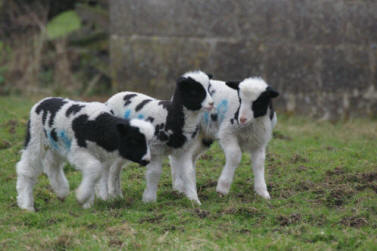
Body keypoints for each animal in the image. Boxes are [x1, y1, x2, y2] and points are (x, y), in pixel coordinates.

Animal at [15, 97, 154, 211]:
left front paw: (89, 203)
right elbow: (94, 168)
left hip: (56, 144)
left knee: (52, 165)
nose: (147, 160)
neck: (99, 126)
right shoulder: (78, 151)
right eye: (134, 140)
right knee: (26, 169)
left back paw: (61, 191)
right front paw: (82, 197)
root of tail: (41, 102)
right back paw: (26, 204)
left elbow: (97, 175)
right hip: (35, 139)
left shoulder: (103, 158)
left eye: (149, 141)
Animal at [103, 70, 213, 204]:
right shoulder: (155, 148)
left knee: (115, 168)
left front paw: (194, 200)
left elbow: (188, 173)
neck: (171, 115)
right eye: (194, 91)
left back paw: (117, 195)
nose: (211, 103)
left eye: (208, 89)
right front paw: (149, 200)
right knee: (109, 167)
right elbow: (154, 173)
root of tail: (110, 99)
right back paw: (109, 196)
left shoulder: (185, 150)